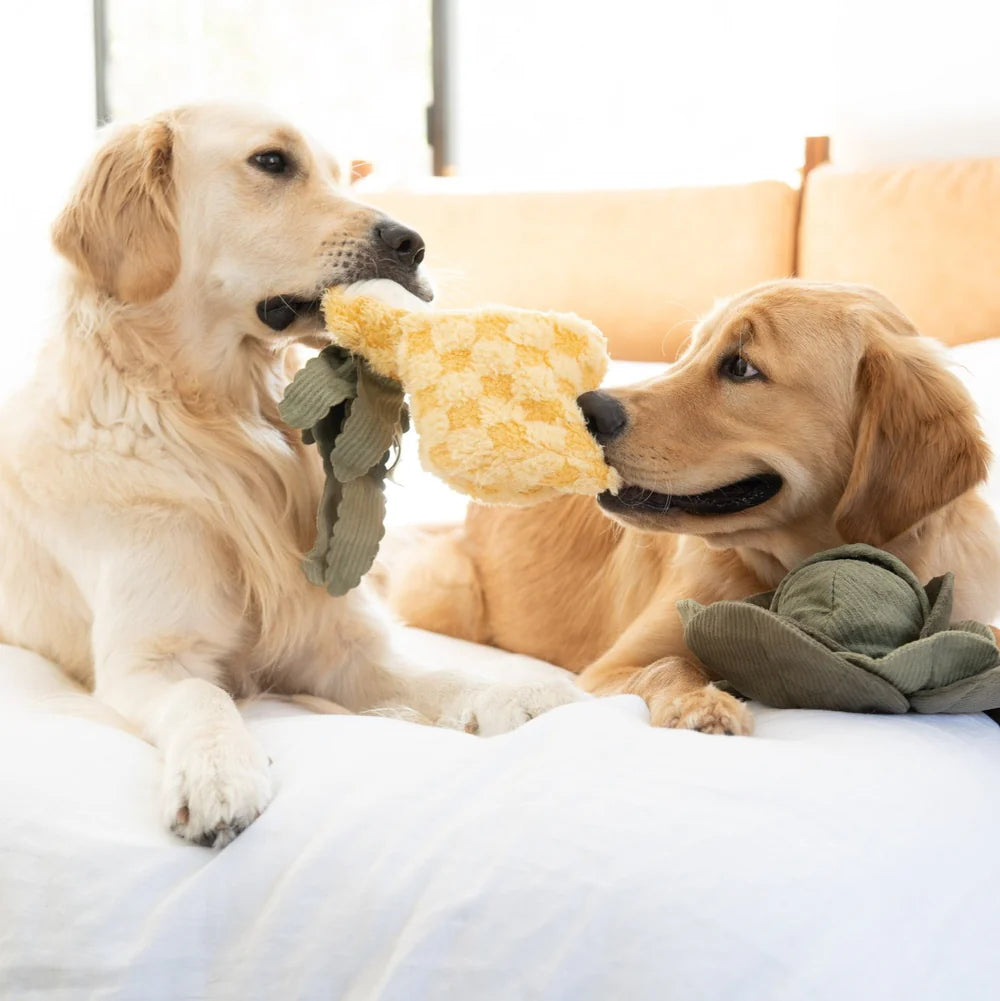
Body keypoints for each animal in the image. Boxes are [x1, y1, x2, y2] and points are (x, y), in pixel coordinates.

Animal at [0, 103, 584, 844]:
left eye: (346, 175)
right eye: (272, 162)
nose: (414, 243)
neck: (228, 426)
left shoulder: (338, 645)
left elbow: (437, 675)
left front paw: (515, 691)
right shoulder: (146, 659)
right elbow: (202, 693)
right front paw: (218, 772)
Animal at [388, 282, 1000, 736]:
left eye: (741, 367)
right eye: (687, 353)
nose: (584, 408)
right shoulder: (611, 667)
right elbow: (670, 661)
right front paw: (699, 704)